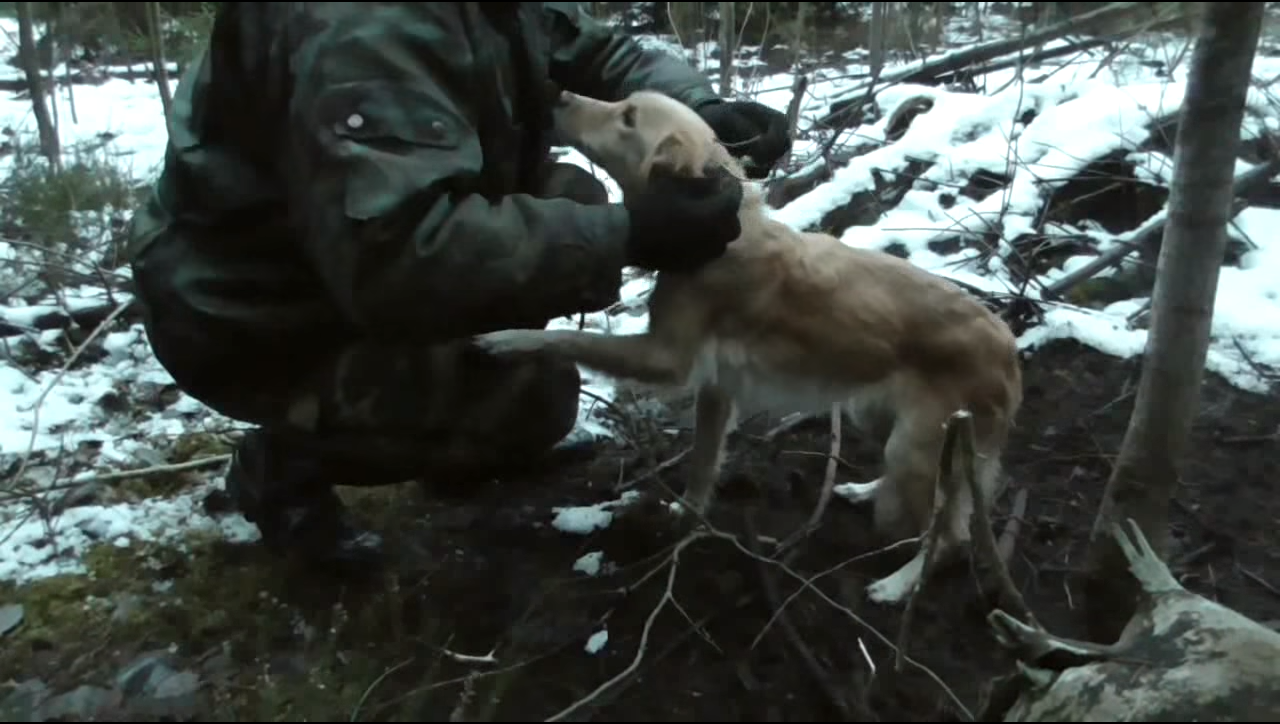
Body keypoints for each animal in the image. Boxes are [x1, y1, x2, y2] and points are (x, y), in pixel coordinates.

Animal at [476, 88, 1024, 603]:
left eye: (628, 117)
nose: (560, 95)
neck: (722, 231)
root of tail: (1008, 346)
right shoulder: (716, 389)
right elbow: (702, 464)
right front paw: (687, 520)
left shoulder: (666, 359)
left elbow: (568, 337)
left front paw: (509, 339)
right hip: (882, 418)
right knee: (945, 501)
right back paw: (867, 489)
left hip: (916, 448)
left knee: (948, 533)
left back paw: (898, 584)